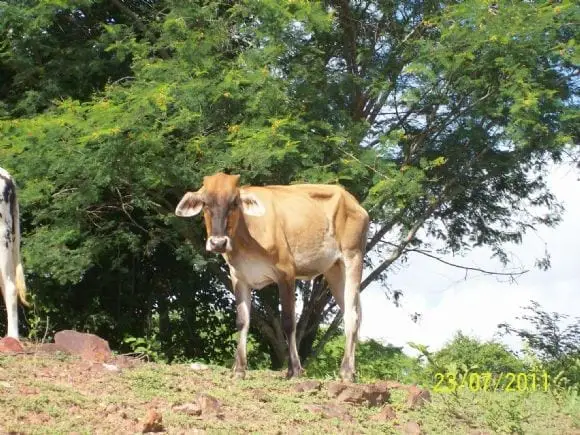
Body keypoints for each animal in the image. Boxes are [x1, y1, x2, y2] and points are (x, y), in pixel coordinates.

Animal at [174, 174, 370, 382]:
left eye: (234, 202)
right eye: (205, 203)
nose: (218, 243)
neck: (247, 235)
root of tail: (353, 202)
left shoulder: (286, 272)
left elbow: (289, 322)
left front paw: (294, 369)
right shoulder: (239, 278)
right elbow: (242, 321)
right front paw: (239, 369)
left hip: (353, 258)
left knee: (352, 315)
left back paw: (346, 371)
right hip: (334, 270)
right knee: (356, 314)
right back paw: (351, 370)